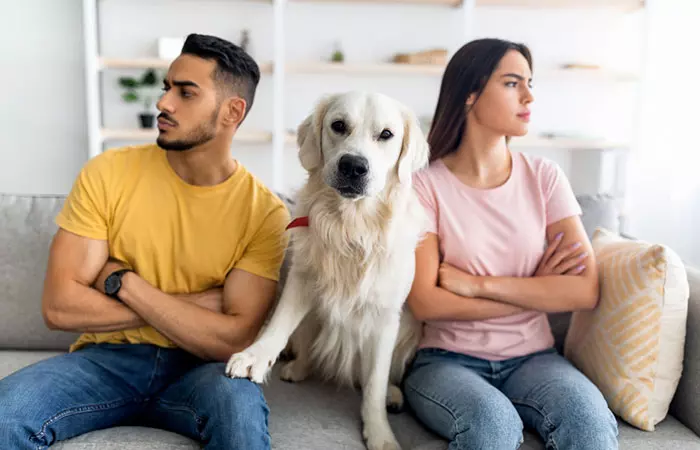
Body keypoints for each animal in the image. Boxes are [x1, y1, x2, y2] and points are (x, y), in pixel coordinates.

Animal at [227, 91, 430, 450]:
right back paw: (298, 367)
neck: (352, 226)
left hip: (408, 329)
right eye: (338, 126)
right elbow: (278, 326)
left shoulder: (385, 317)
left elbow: (374, 383)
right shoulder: (301, 279)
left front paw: (380, 433)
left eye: (386, 135)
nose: (353, 166)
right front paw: (255, 356)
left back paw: (392, 394)